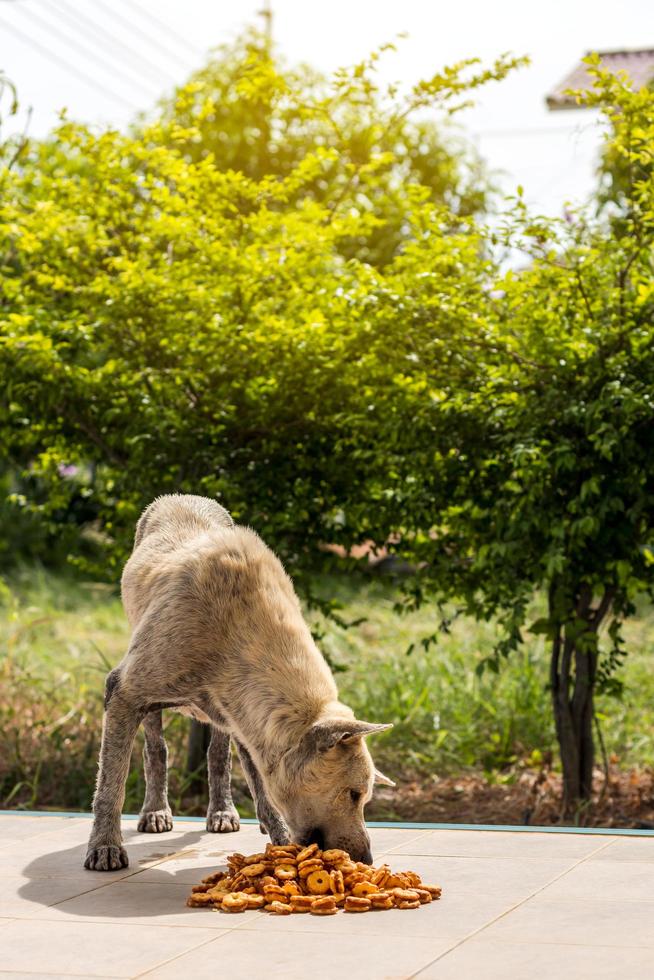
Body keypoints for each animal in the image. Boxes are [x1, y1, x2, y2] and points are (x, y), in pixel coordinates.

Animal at [84, 494, 392, 868]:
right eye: (354, 793)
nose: (367, 860)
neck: (235, 633)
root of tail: (178, 496)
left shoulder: (249, 718)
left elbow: (259, 785)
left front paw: (280, 841)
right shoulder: (123, 692)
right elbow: (111, 782)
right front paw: (105, 846)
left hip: (226, 719)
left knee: (218, 756)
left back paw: (222, 812)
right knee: (156, 748)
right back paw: (155, 812)